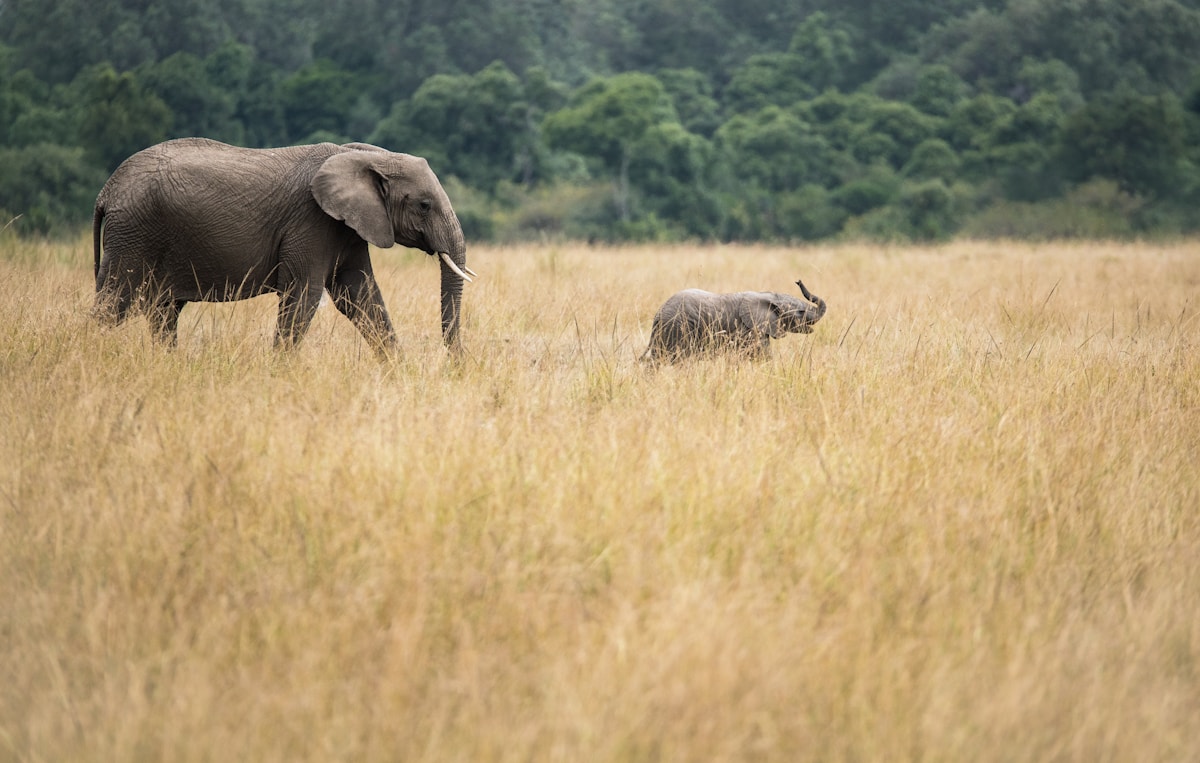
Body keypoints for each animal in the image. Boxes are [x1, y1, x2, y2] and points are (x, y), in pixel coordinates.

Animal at [92, 137, 475, 354]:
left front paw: (398, 372)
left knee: (163, 311)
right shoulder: (311, 221)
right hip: (135, 234)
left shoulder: (347, 226)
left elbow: (359, 296)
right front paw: (279, 373)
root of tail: (106, 191)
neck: (363, 155)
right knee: (113, 304)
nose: (453, 365)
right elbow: (304, 295)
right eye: (424, 205)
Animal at [643, 279, 826, 362]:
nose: (798, 281)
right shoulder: (749, 330)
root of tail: (658, 315)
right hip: (678, 327)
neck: (769, 296)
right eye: (801, 312)